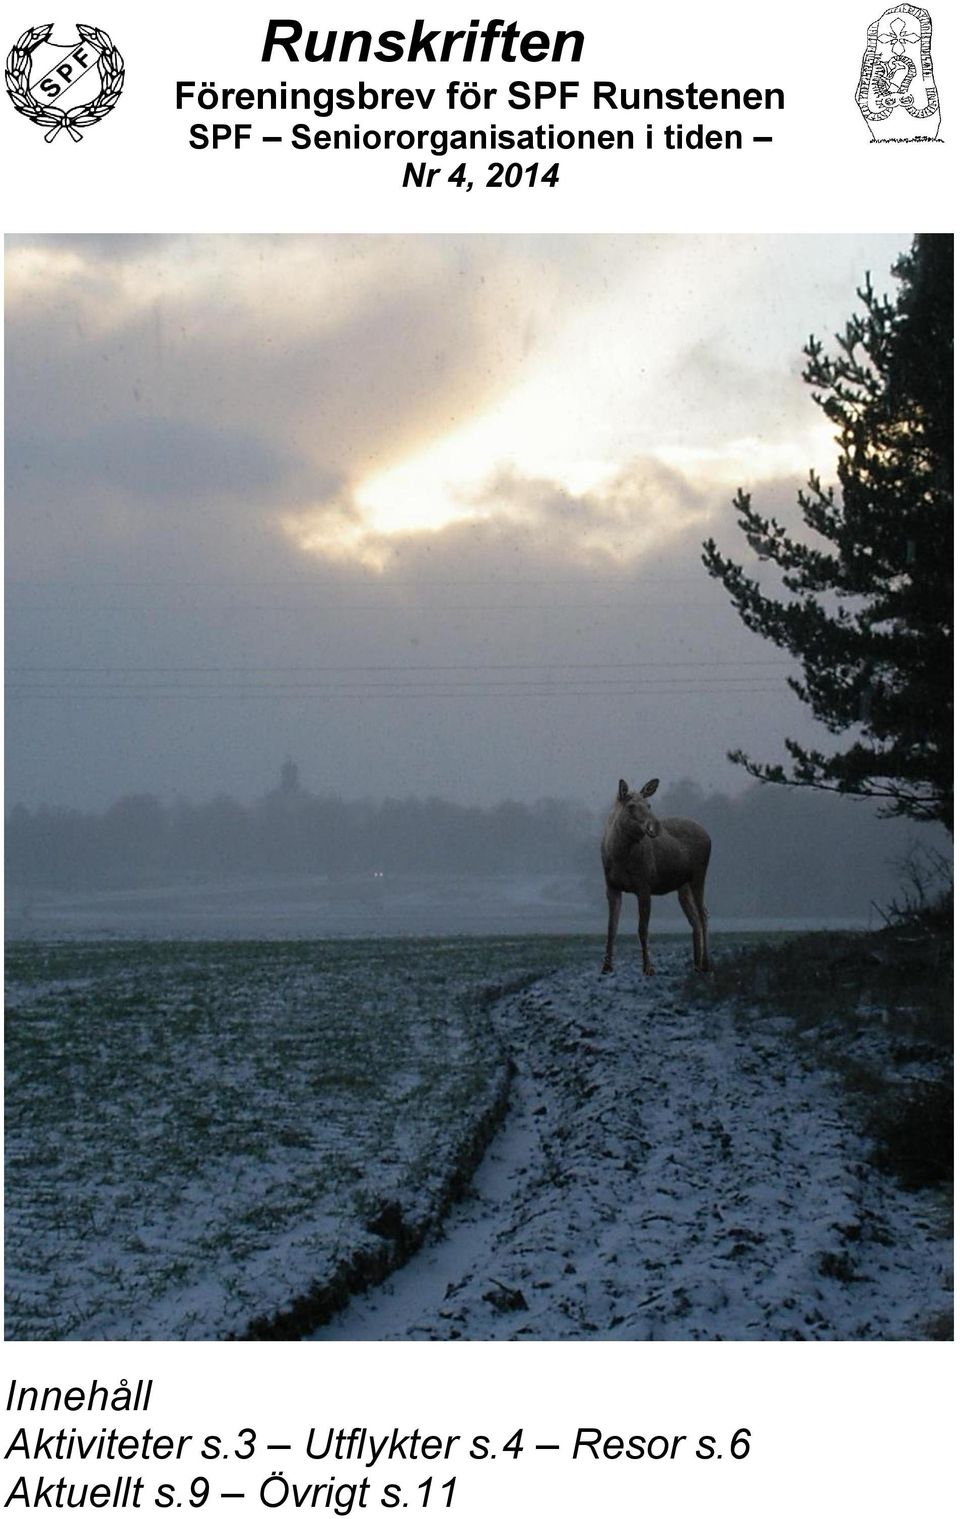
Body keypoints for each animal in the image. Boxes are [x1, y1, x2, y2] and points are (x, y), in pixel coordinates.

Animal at [601, 777, 713, 978]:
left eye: (649, 805)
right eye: (631, 806)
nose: (655, 827)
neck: (619, 856)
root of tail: (709, 836)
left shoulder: (644, 885)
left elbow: (643, 928)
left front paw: (648, 968)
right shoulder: (611, 886)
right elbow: (611, 928)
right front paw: (606, 967)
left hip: (699, 874)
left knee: (703, 914)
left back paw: (706, 963)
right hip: (683, 885)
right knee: (695, 918)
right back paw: (696, 964)